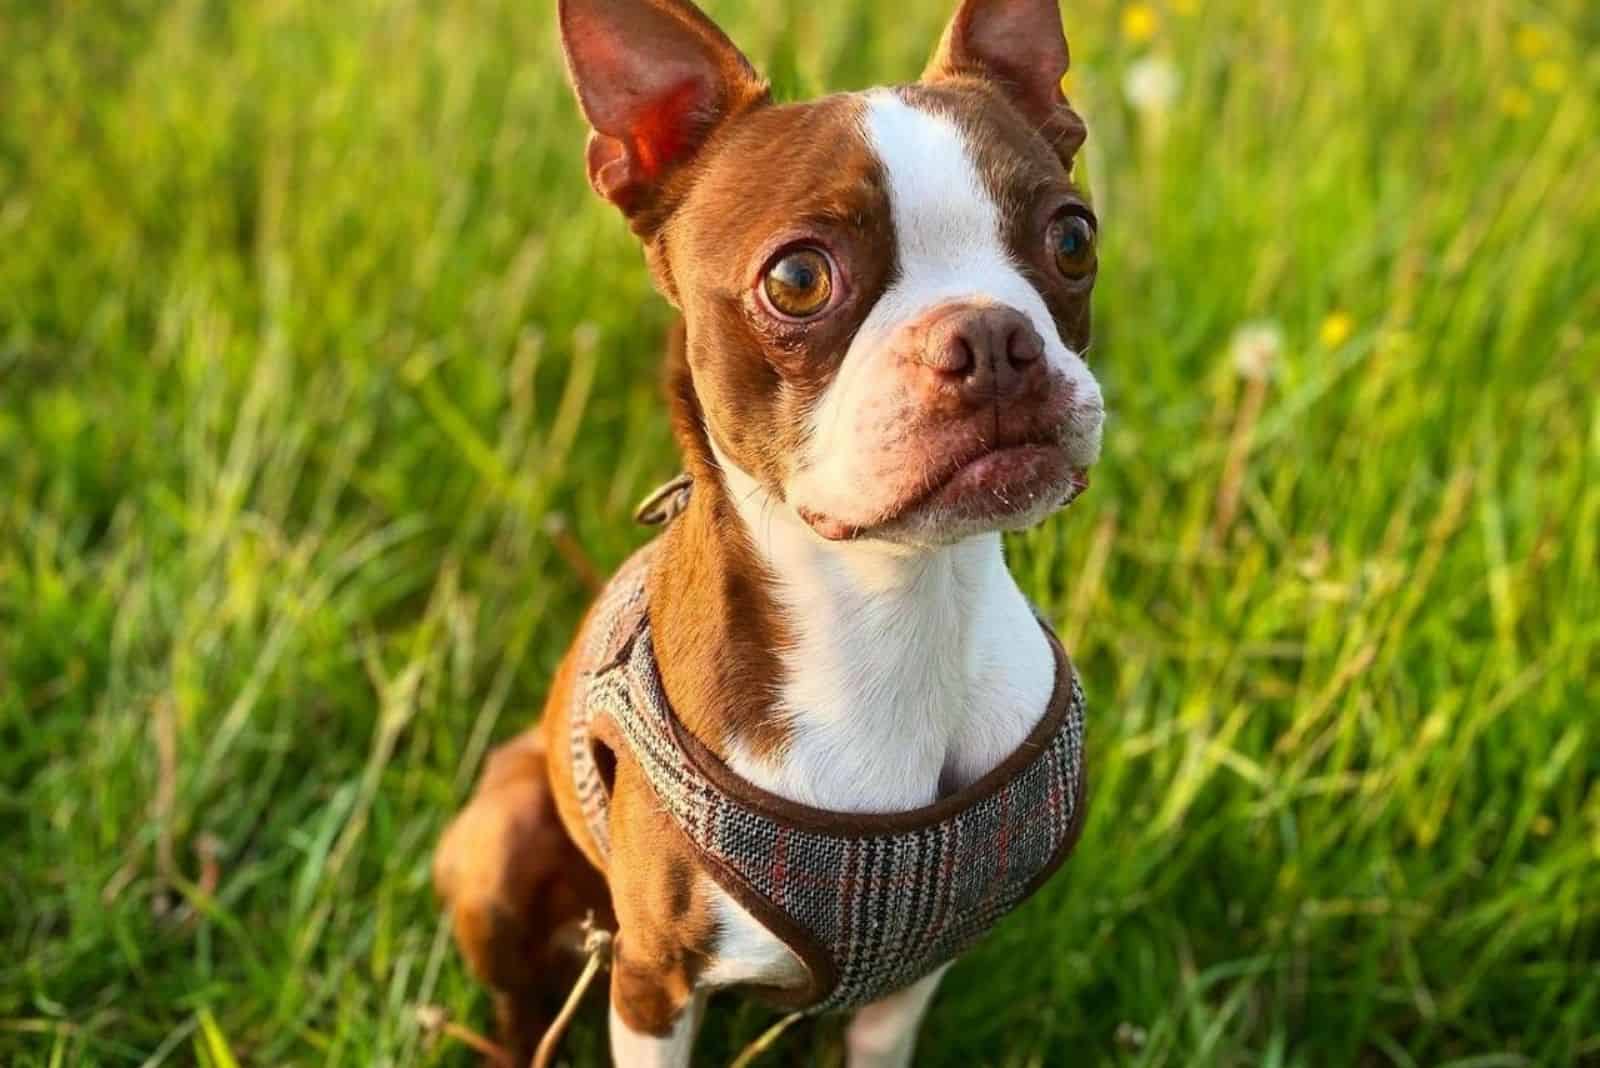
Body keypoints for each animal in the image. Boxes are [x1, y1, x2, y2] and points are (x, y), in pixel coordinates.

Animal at [435, 0, 1113, 1061]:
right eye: (798, 278)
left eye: (1073, 239)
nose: (992, 336)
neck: (897, 607)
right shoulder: (652, 979)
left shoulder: (912, 982)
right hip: (502, 842)